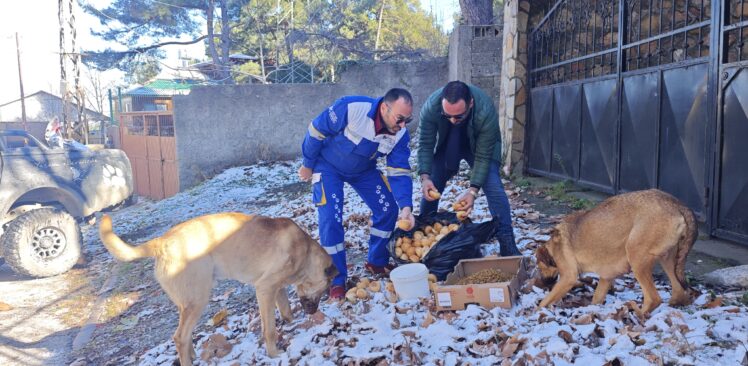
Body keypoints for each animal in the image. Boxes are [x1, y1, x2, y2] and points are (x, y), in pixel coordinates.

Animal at [98, 213, 336, 364]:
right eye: (324, 290)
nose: (314, 312)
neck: (305, 252)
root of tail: (161, 242)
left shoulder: (276, 289)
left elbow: (285, 311)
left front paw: (292, 326)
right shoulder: (265, 288)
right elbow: (269, 329)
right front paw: (274, 354)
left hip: (188, 301)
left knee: (184, 335)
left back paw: (192, 355)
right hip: (199, 299)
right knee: (180, 337)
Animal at [536, 189, 700, 314]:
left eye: (539, 266)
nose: (541, 285)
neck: (552, 247)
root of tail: (677, 204)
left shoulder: (568, 278)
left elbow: (545, 301)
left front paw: (536, 311)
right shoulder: (606, 278)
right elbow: (596, 298)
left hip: (636, 257)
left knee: (654, 298)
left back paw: (637, 314)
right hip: (668, 260)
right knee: (678, 291)